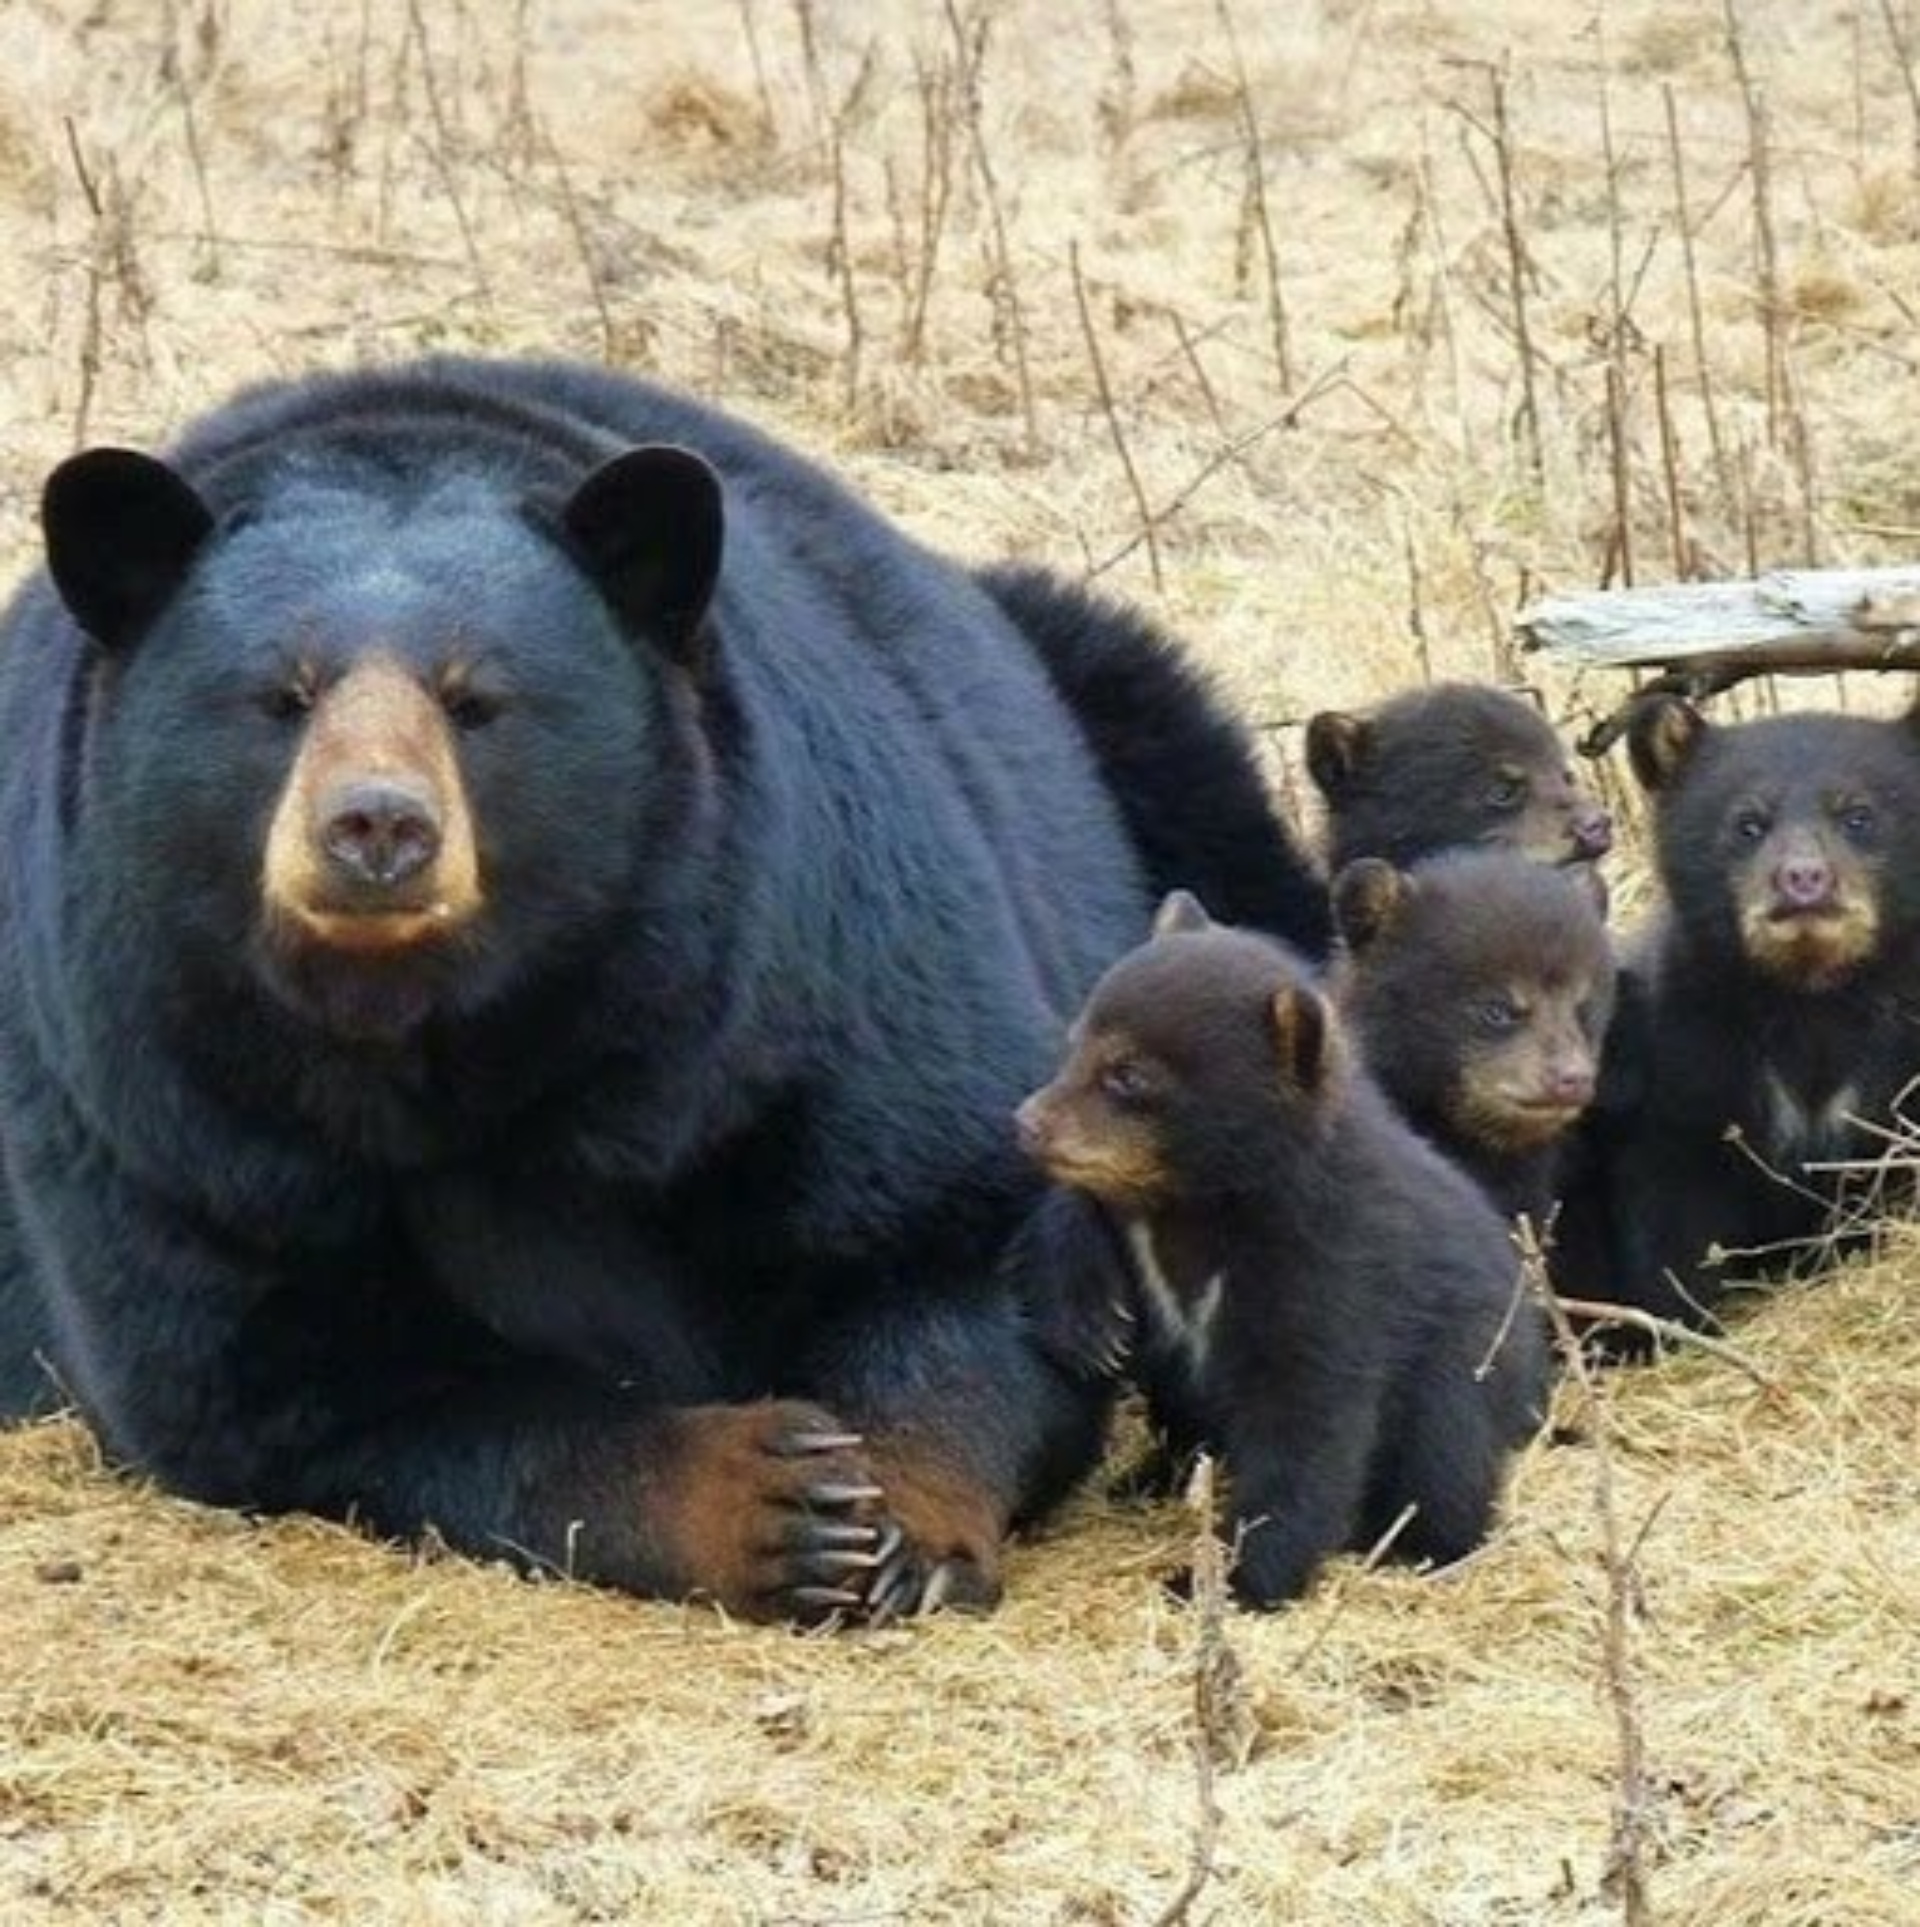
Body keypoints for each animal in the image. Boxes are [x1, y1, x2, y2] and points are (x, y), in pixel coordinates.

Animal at [0, 358, 1318, 1626]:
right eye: (283, 695)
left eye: (475, 699)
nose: (377, 826)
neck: (448, 1033)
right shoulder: (175, 1106)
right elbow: (281, 1378)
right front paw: (772, 1502)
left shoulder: (809, 962)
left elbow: (962, 1239)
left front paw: (900, 1528)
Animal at [1017, 894, 1542, 1603]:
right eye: (1077, 1044)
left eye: (1129, 1075)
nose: (1028, 1122)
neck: (1203, 1202)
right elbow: (1080, 1216)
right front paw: (1094, 1326)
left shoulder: (1328, 1263)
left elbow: (1306, 1421)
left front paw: (1225, 1579)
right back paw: (1148, 1473)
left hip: (1468, 1362)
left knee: (1448, 1453)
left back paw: (1417, 1545)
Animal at [1549, 693, 1920, 1341]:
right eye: (1748, 824)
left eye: (1859, 816)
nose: (1803, 879)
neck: (1810, 995)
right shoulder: (1685, 1054)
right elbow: (1671, 1200)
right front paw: (1681, 1319)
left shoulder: (1901, 1054)